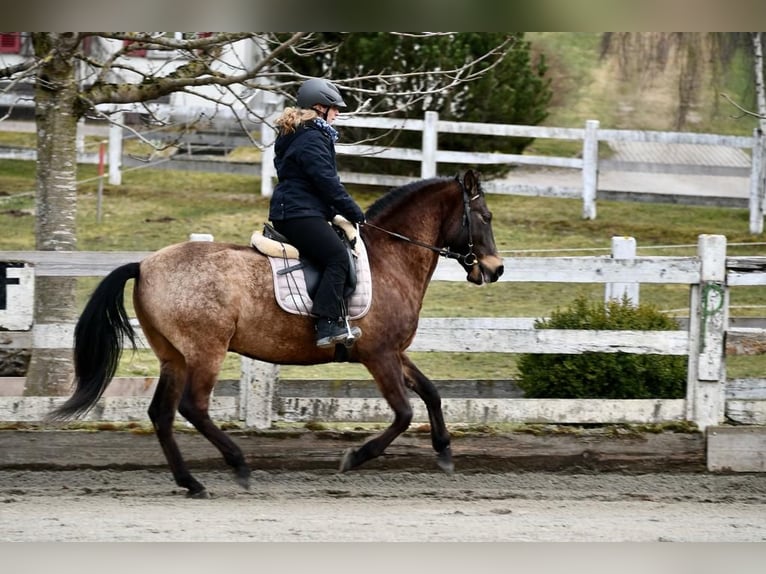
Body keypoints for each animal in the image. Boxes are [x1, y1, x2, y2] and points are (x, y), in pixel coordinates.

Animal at [50, 168, 505, 498]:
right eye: (485, 217)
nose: (496, 269)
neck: (389, 258)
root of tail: (144, 265)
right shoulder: (378, 355)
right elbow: (405, 412)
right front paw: (356, 456)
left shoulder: (393, 352)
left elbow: (431, 392)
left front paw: (444, 451)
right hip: (206, 351)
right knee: (193, 407)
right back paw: (238, 465)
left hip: (173, 356)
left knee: (162, 413)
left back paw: (191, 483)